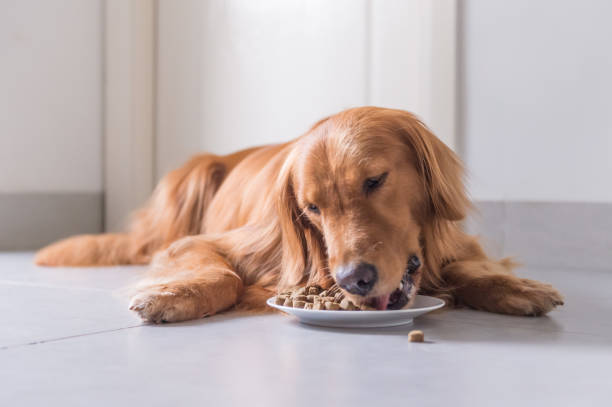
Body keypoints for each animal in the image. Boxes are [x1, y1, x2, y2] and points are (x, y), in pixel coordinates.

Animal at [34, 107, 564, 324]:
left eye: (375, 181)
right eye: (312, 209)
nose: (354, 280)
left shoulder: (455, 243)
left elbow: (473, 267)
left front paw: (519, 288)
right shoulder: (205, 243)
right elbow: (222, 273)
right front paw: (174, 295)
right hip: (191, 177)